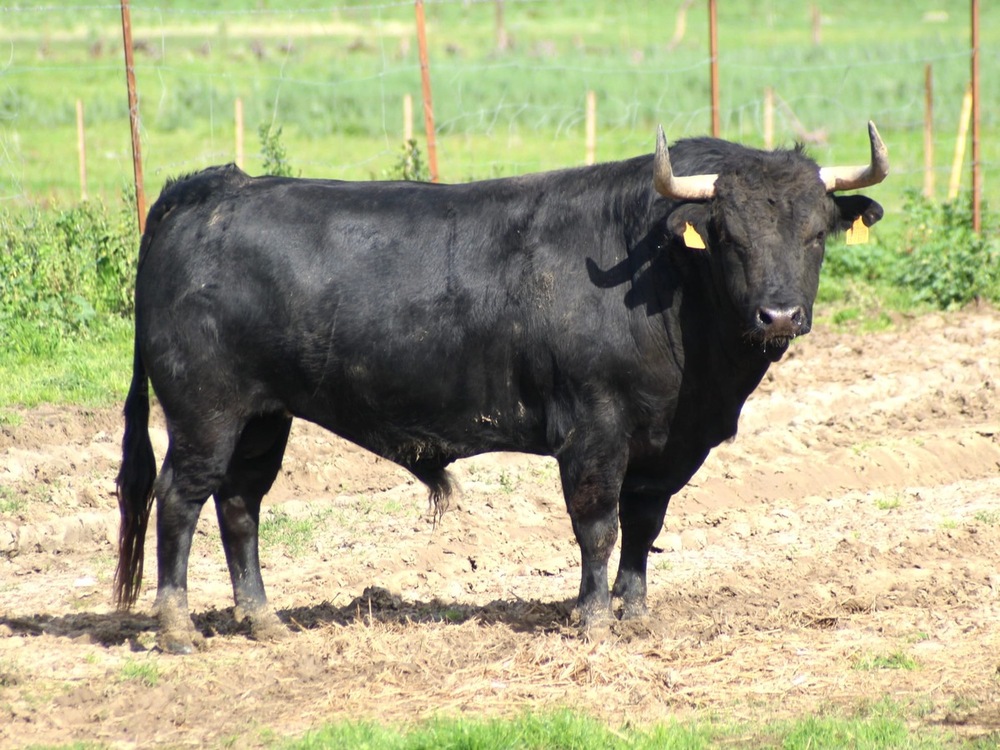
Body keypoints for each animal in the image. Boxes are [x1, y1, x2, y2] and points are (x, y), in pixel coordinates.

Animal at [113, 123, 888, 652]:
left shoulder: (665, 446)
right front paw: (593, 618)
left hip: (264, 416)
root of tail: (211, 188)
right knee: (180, 500)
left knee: (240, 504)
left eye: (816, 232)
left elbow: (643, 526)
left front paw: (635, 613)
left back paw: (264, 619)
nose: (779, 314)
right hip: (205, 412)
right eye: (728, 234)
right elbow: (598, 526)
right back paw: (177, 628)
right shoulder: (594, 432)